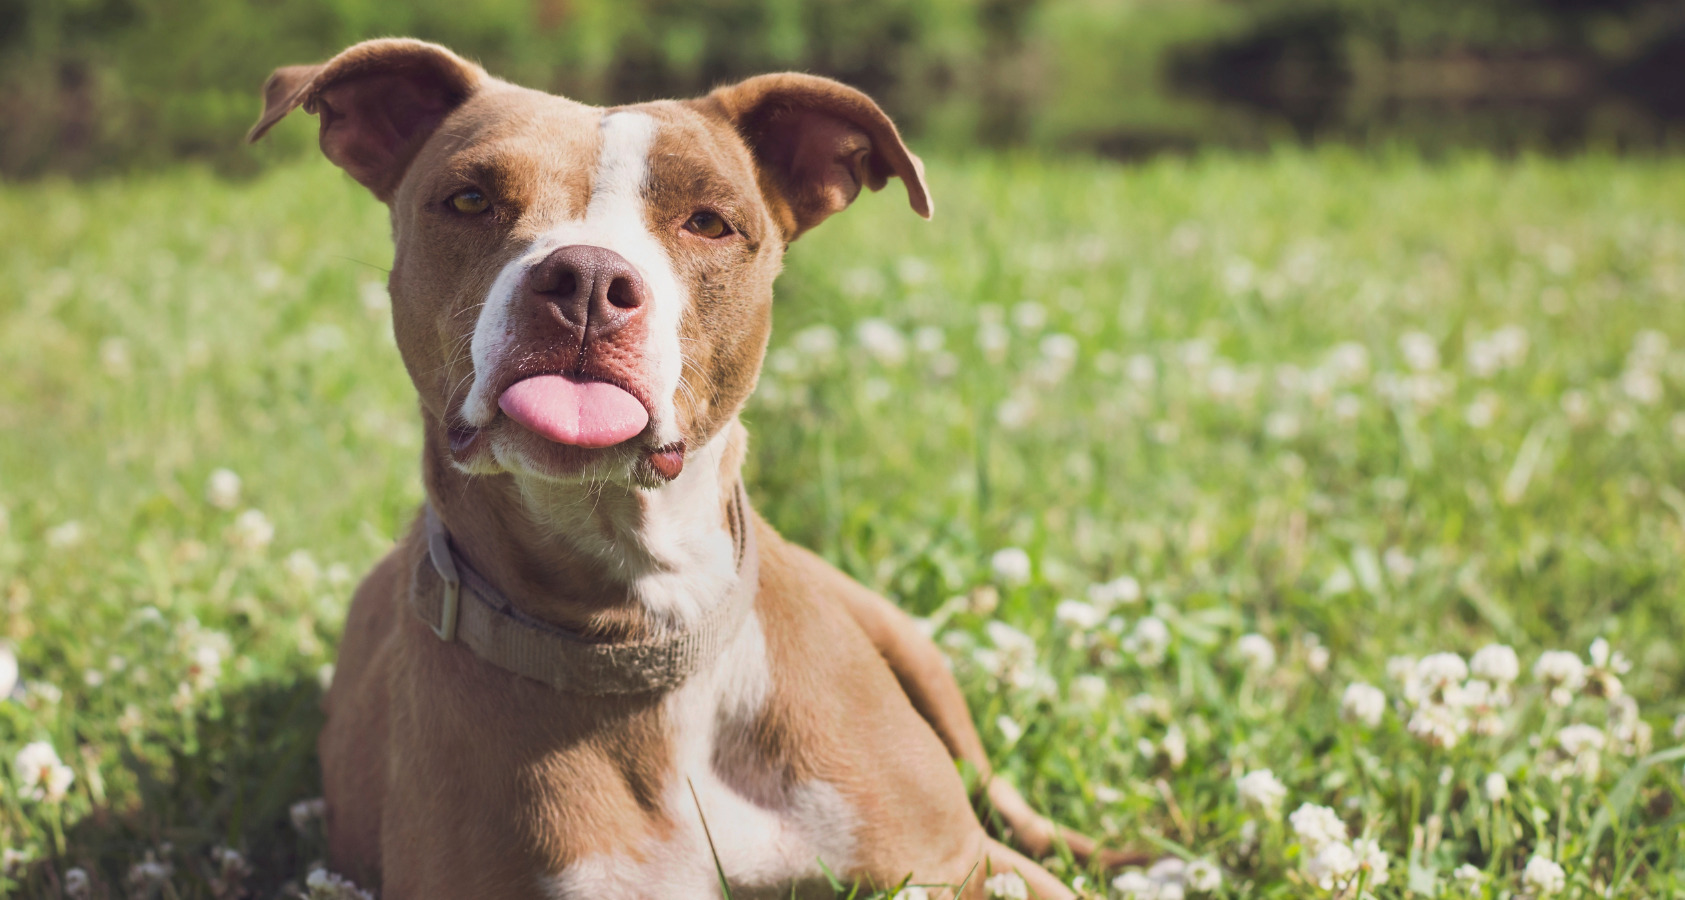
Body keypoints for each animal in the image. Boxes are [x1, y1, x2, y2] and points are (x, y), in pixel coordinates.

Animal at [249, 37, 1139, 900]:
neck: (648, 619)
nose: (585, 278)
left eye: (708, 222)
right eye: (469, 201)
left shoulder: (959, 863)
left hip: (908, 645)